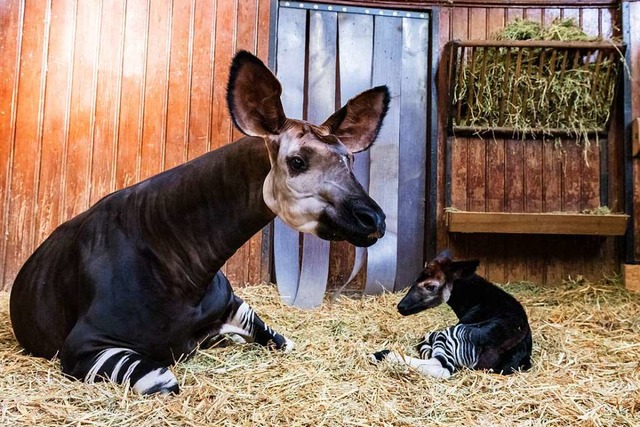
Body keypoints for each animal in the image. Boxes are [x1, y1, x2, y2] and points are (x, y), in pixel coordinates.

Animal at [10, 51, 388, 396]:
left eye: (350, 161)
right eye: (297, 162)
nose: (375, 219)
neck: (186, 272)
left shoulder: (234, 305)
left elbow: (280, 339)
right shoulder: (85, 345)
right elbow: (164, 380)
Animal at [370, 251, 528, 378]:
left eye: (430, 286)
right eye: (415, 280)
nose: (401, 307)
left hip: (449, 335)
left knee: (443, 367)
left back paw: (380, 354)